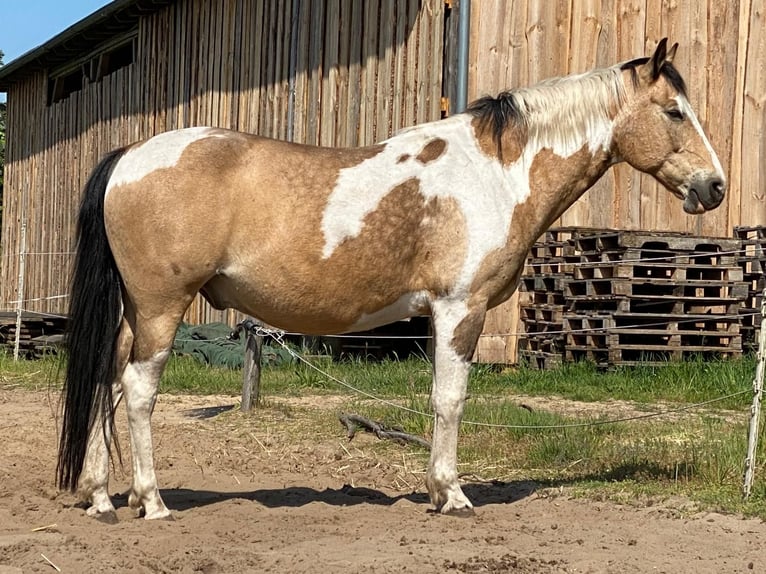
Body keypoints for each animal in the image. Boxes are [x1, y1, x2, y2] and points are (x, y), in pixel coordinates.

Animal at [58, 39, 728, 520]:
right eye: (674, 112)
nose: (715, 186)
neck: (495, 172)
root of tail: (129, 155)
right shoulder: (461, 309)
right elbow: (450, 400)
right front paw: (452, 495)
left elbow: (438, 399)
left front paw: (436, 490)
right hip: (161, 308)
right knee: (138, 391)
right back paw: (151, 502)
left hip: (134, 314)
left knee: (104, 382)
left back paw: (100, 497)